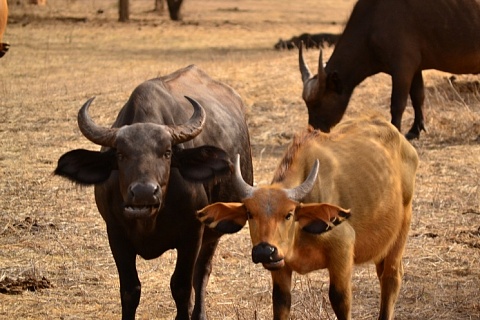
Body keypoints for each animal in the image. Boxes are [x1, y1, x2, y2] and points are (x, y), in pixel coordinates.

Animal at [54, 65, 253, 320]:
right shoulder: (115, 233)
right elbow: (130, 290)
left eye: (167, 152)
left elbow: (181, 286)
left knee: (201, 273)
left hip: (213, 231)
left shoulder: (192, 234)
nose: (144, 193)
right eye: (121, 154)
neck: (149, 220)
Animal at [197, 117, 418, 320]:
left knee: (391, 277)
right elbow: (280, 302)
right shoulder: (280, 266)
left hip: (401, 231)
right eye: (250, 214)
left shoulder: (342, 251)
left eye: (288, 214)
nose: (264, 251)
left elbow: (340, 299)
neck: (299, 234)